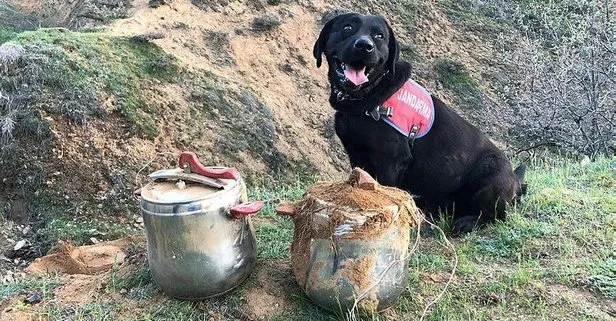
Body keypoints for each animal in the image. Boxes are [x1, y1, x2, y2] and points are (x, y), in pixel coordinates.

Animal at [316, 13, 528, 232]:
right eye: (347, 27)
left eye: (379, 36)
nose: (365, 46)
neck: (368, 97)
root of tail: (515, 181)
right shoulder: (357, 156)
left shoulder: (391, 161)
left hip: (490, 176)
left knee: (495, 216)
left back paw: (466, 222)